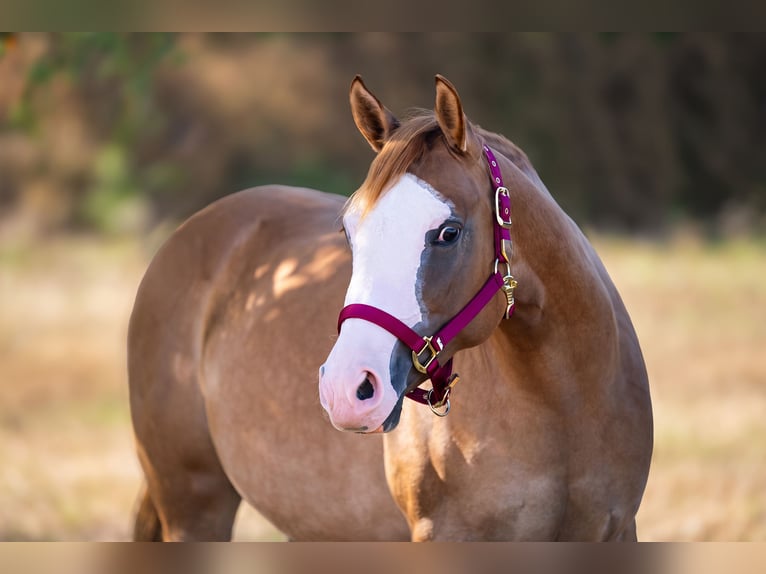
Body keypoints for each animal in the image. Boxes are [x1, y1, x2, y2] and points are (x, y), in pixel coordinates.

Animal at [128, 75, 653, 541]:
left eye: (449, 232)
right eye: (348, 231)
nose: (346, 389)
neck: (564, 406)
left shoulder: (617, 530)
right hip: (193, 506)